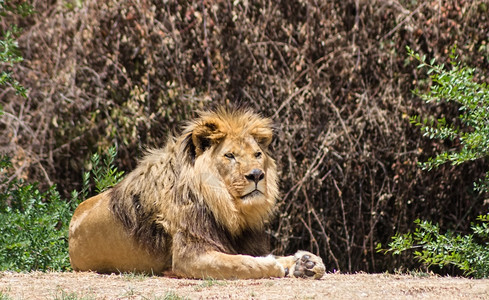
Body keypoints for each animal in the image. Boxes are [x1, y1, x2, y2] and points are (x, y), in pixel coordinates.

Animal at [67, 107, 324, 278]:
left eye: (257, 154)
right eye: (230, 156)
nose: (257, 175)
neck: (229, 209)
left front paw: (306, 263)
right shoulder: (189, 257)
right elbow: (242, 263)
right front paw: (274, 265)